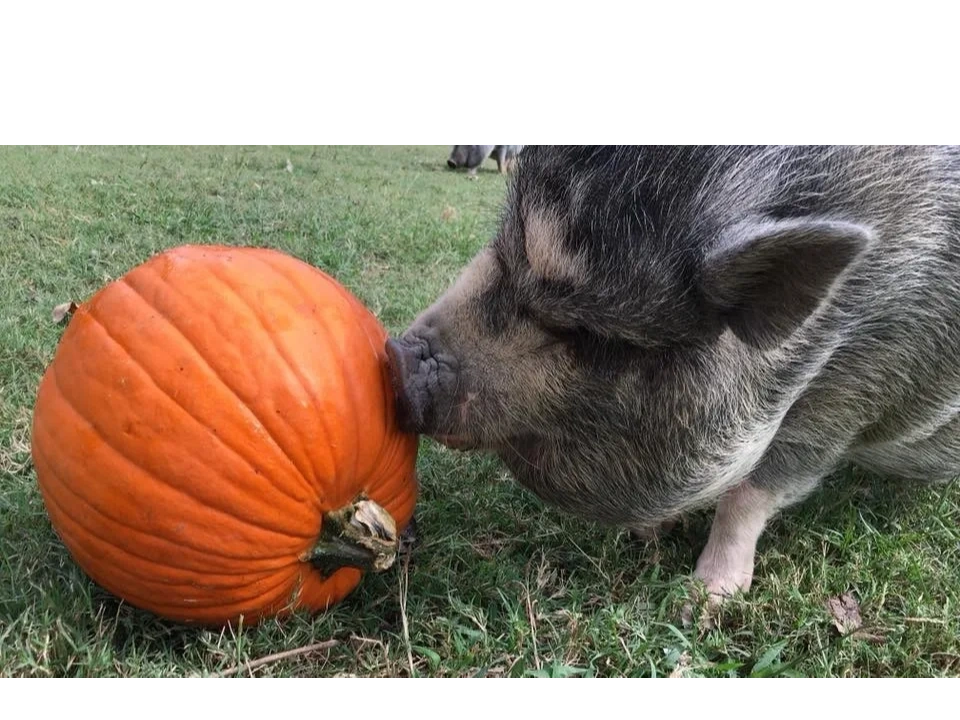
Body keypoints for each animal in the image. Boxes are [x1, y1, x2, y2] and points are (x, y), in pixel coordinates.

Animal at [386, 144, 960, 601]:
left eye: (585, 334)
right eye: (502, 249)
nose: (397, 356)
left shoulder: (852, 390)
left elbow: (753, 493)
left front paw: (705, 598)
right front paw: (648, 536)